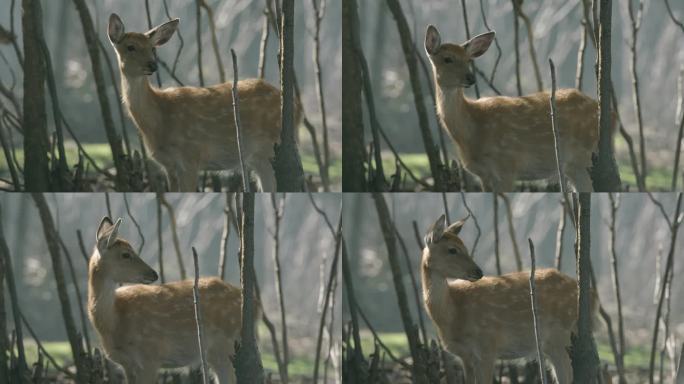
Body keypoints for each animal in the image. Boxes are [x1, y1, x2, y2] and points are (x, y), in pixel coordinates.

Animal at [89, 218, 246, 382]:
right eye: (125, 254)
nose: (154, 273)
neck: (114, 321)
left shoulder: (151, 355)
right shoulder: (127, 364)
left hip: (226, 345)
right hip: (216, 352)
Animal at [107, 12, 288, 192]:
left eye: (152, 48)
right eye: (130, 47)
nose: (152, 65)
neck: (160, 120)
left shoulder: (190, 156)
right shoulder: (168, 165)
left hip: (271, 149)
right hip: (259, 159)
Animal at [422, 214, 600, 382]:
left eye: (465, 247)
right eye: (452, 249)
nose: (478, 271)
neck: (453, 313)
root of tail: (593, 299)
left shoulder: (487, 345)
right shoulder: (465, 357)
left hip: (562, 338)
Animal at [424, 24, 608, 191]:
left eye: (469, 60)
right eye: (447, 59)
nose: (470, 78)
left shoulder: (507, 164)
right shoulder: (483, 175)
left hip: (584, 158)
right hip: (575, 167)